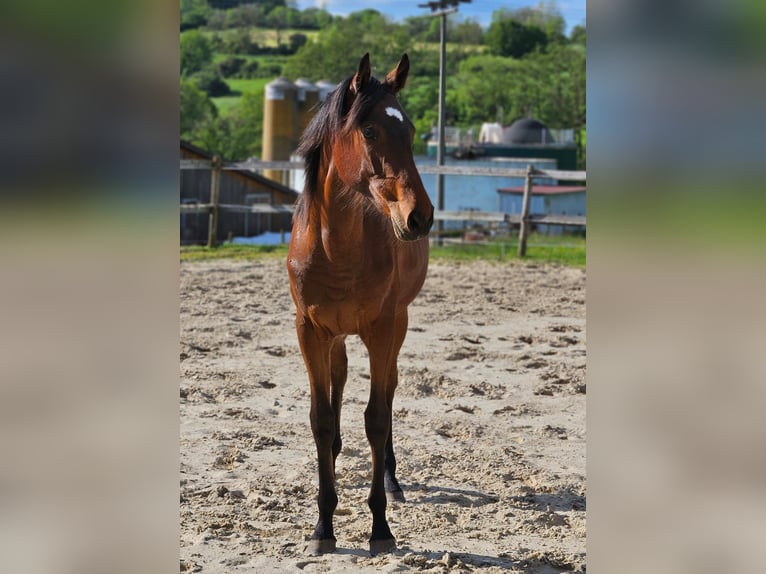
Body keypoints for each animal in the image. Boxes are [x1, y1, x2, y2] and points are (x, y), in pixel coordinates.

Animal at [286, 54, 436, 560]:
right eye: (369, 130)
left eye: (411, 129)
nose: (420, 216)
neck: (337, 247)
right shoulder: (310, 331)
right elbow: (320, 417)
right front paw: (322, 525)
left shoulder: (383, 329)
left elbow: (377, 416)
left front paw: (380, 527)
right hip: (335, 336)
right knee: (339, 383)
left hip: (396, 326)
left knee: (388, 391)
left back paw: (391, 479)